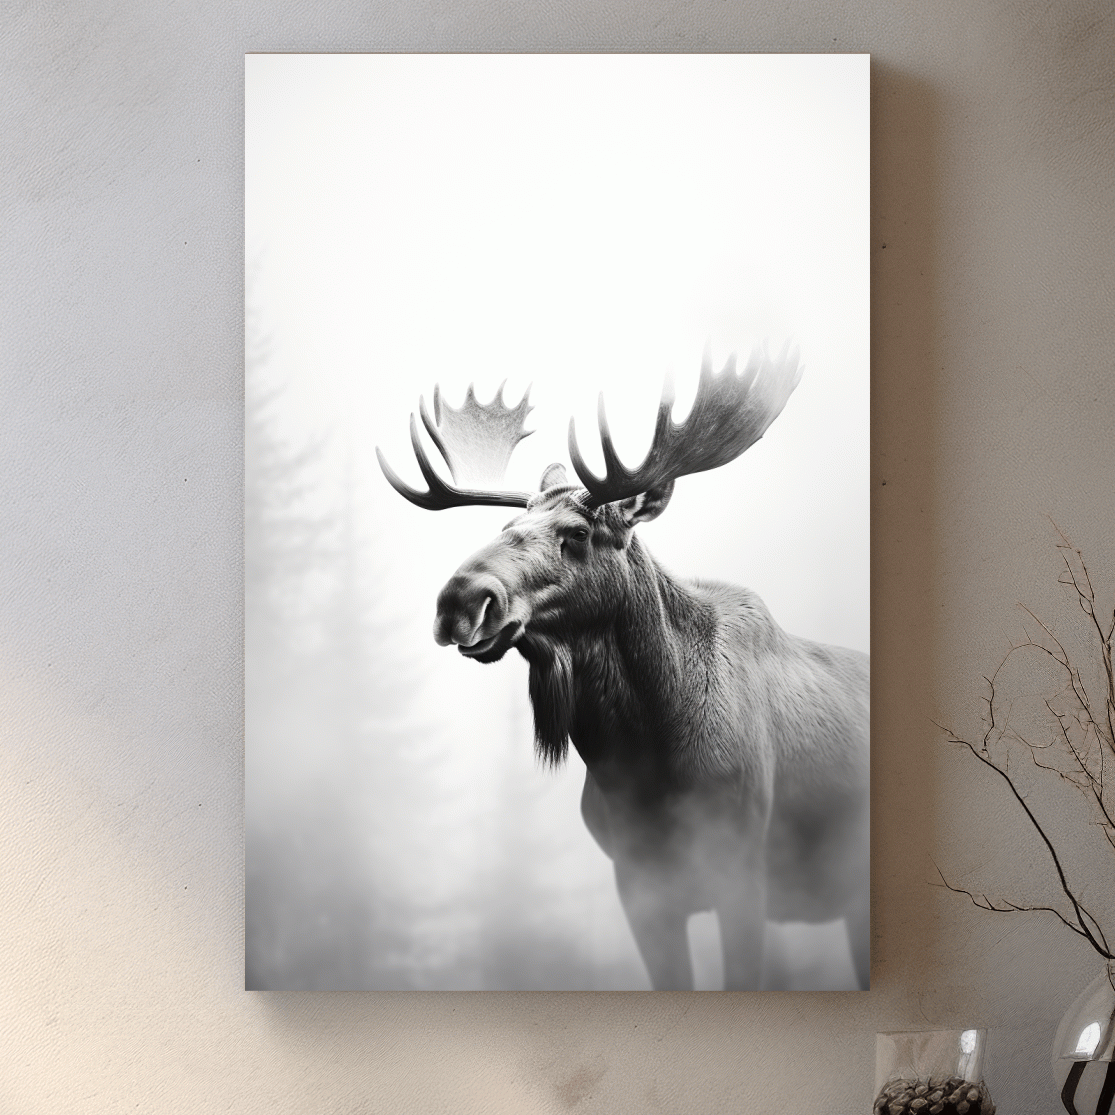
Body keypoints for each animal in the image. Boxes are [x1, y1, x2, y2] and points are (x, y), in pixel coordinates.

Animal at [376, 349, 870, 990]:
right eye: (504, 529)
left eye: (578, 533)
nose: (460, 599)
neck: (644, 762)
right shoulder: (639, 886)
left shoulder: (743, 872)